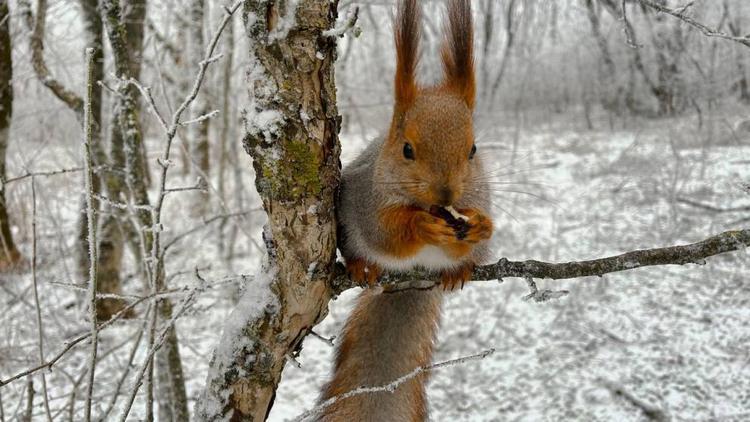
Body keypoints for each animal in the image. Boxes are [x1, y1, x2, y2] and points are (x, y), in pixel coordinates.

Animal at [318, 1, 494, 420]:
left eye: (473, 149)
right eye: (407, 149)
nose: (447, 192)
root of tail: (415, 277)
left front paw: (480, 227)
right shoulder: (366, 201)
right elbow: (388, 234)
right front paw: (421, 226)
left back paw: (457, 270)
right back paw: (362, 266)